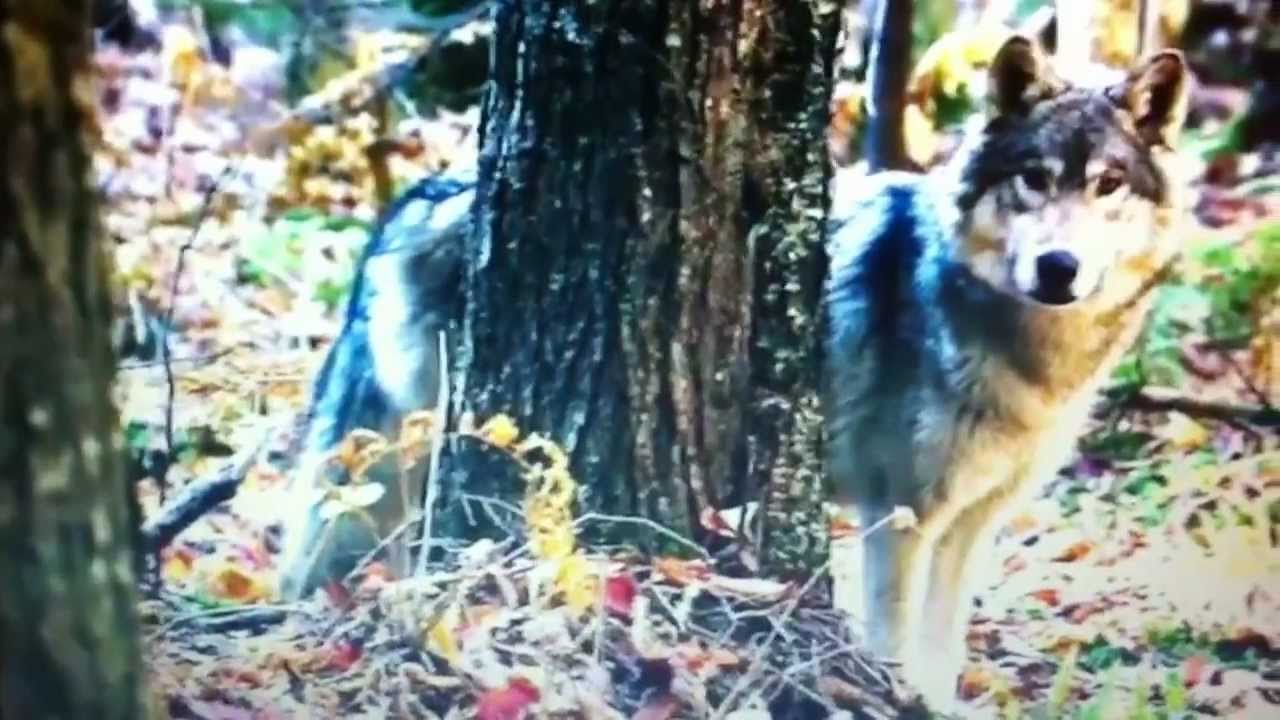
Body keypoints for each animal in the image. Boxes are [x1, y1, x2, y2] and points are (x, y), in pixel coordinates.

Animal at [824, 36, 1189, 709]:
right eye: (1034, 178)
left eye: (1108, 184)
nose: (1059, 267)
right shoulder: (901, 516)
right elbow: (894, 643)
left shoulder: (973, 523)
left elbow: (942, 651)